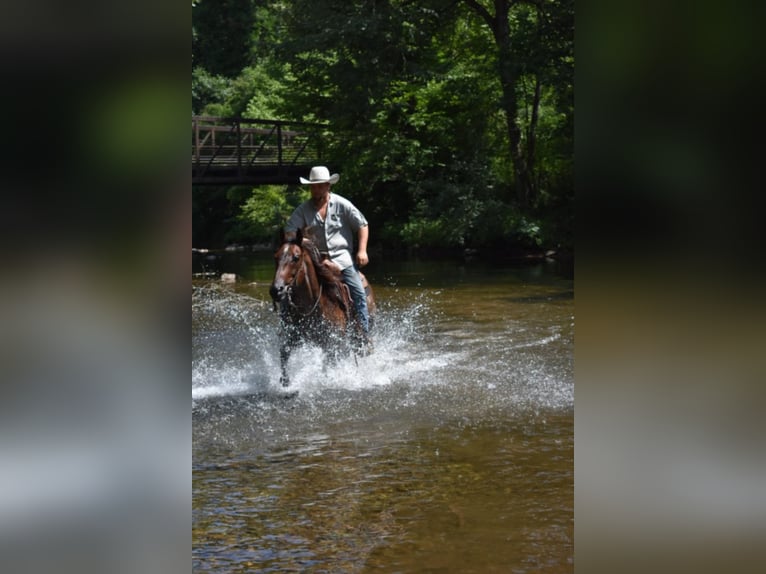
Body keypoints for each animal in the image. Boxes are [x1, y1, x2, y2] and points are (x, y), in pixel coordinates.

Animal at [270, 232, 378, 390]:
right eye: (275, 256)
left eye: (296, 257)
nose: (276, 290)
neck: (310, 308)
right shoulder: (291, 338)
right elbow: (284, 355)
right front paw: (285, 381)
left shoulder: (332, 344)